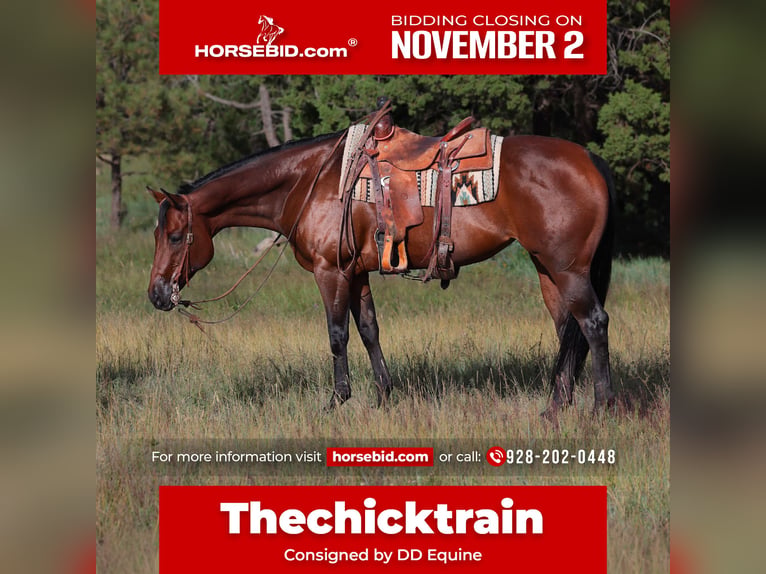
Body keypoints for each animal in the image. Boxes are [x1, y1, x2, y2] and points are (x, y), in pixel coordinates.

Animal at [147, 125, 616, 420]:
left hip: (568, 270)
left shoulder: (331, 273)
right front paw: (384, 397)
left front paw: (337, 400)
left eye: (175, 236)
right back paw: (555, 408)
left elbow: (337, 335)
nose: (157, 294)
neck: (309, 183)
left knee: (593, 323)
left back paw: (602, 407)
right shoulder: (356, 274)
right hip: (548, 270)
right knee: (568, 330)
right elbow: (369, 330)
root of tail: (591, 159)